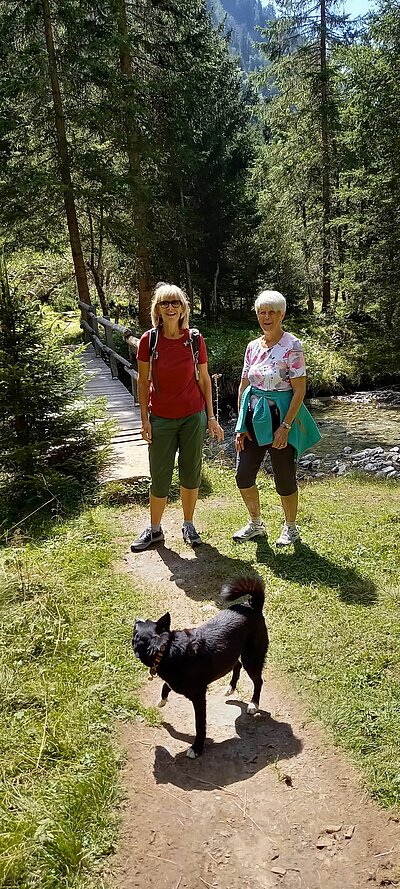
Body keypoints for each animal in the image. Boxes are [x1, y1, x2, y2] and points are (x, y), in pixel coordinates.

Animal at [134, 576, 268, 756]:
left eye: (135, 632)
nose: (136, 619)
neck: (166, 650)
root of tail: (252, 606)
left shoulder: (198, 697)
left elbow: (199, 724)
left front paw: (197, 747)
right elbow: (165, 685)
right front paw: (162, 701)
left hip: (251, 658)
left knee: (258, 681)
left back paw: (254, 704)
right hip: (234, 654)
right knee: (237, 665)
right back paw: (231, 687)